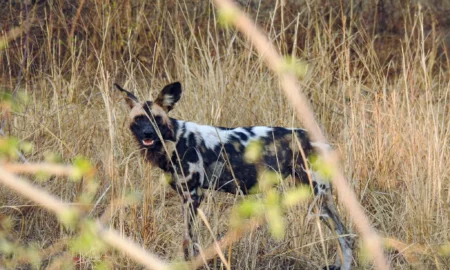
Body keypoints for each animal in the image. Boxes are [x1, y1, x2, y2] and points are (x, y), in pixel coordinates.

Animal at [115, 81, 356, 268]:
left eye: (156, 118)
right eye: (139, 119)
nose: (148, 133)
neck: (174, 140)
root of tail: (321, 140)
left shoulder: (192, 197)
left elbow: (189, 243)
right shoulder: (188, 197)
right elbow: (189, 243)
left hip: (319, 197)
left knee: (346, 237)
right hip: (314, 196)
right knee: (344, 237)